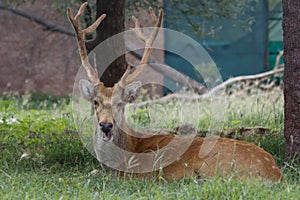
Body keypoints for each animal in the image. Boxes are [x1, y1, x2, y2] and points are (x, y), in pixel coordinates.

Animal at [67, 2, 284, 182]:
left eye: (121, 103)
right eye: (95, 101)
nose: (106, 125)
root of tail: (275, 173)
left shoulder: (139, 176)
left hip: (213, 165)